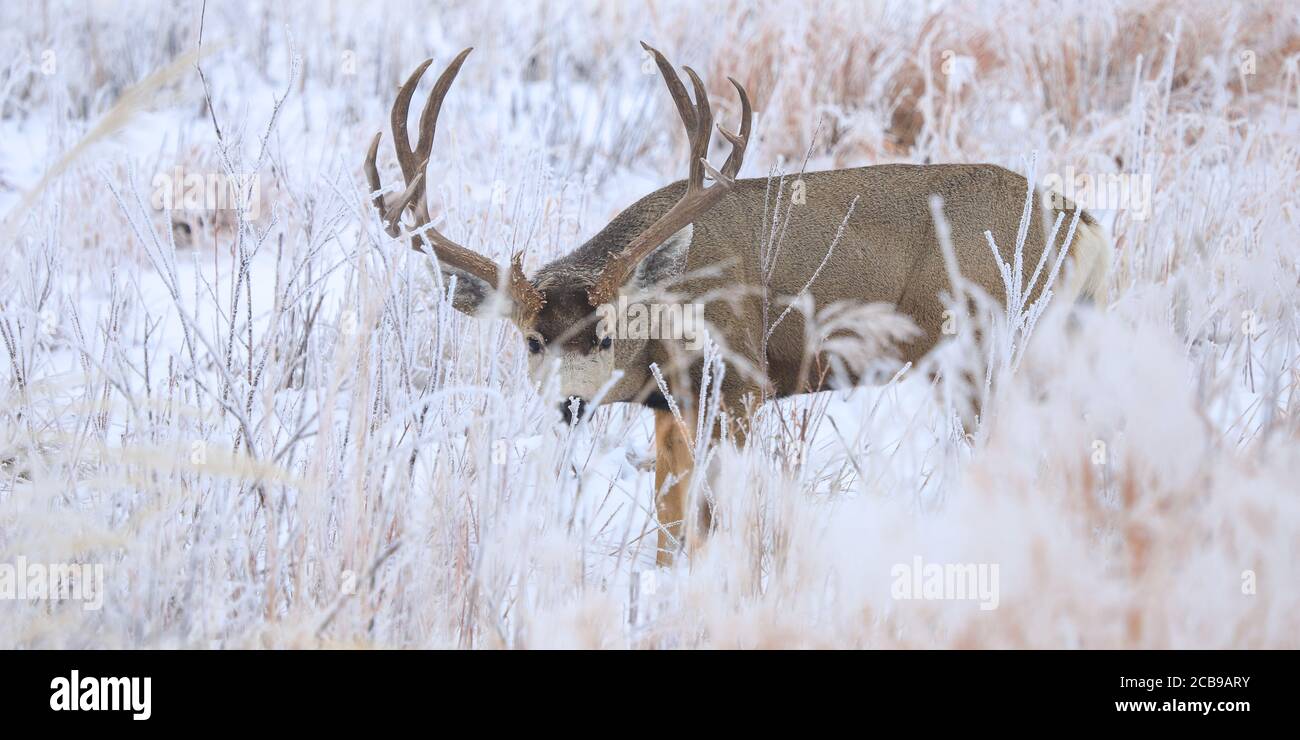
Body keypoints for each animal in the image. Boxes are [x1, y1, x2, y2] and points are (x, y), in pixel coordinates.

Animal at [363, 45, 1113, 567]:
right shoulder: (670, 406)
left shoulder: (742, 381)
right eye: (530, 339)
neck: (673, 307)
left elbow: (715, 514)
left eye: (607, 335)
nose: (571, 403)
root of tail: (1081, 224)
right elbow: (669, 524)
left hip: (987, 346)